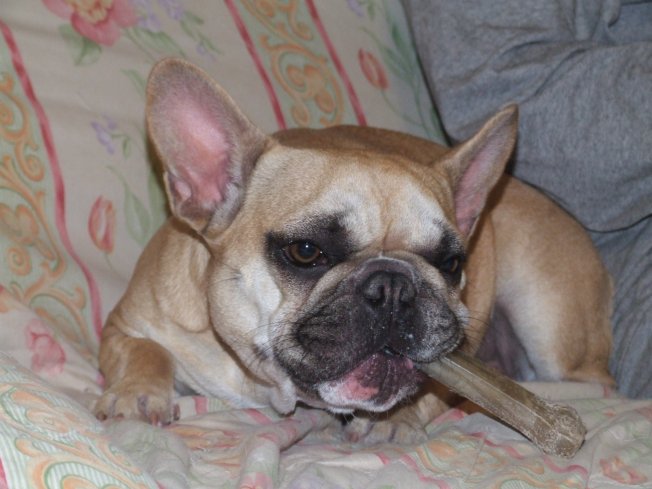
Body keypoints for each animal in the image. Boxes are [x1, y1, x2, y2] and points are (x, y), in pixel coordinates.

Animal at [94, 58, 614, 442]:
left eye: (451, 263)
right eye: (306, 252)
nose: (394, 287)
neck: (265, 387)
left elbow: (428, 389)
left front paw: (397, 420)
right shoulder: (125, 326)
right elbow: (145, 351)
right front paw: (136, 395)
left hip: (545, 313)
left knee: (593, 384)